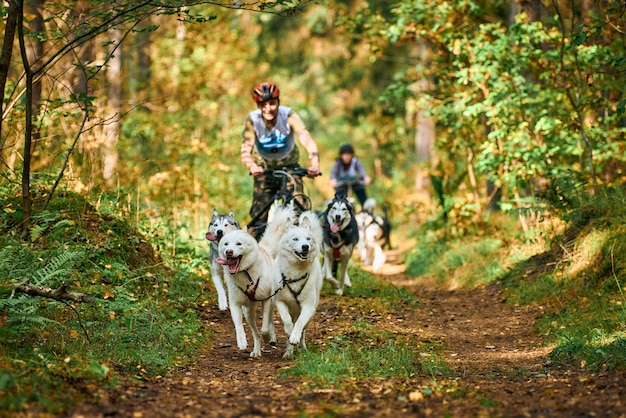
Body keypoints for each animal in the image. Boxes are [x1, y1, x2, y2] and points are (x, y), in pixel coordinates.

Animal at [214, 207, 292, 358]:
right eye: (225, 244)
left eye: (238, 244)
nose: (228, 252)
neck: (246, 274)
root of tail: (264, 249)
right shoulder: (235, 303)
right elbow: (238, 325)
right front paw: (241, 341)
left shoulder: (266, 300)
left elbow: (265, 327)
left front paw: (268, 336)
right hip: (248, 312)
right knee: (255, 332)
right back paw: (256, 350)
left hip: (270, 301)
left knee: (269, 321)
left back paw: (271, 337)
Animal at [272, 207, 322, 358]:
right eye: (295, 239)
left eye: (308, 239)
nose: (305, 246)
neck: (296, 272)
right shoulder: (280, 301)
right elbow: (286, 320)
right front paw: (289, 332)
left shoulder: (308, 306)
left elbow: (299, 324)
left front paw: (294, 336)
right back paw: (288, 352)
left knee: (303, 329)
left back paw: (302, 347)